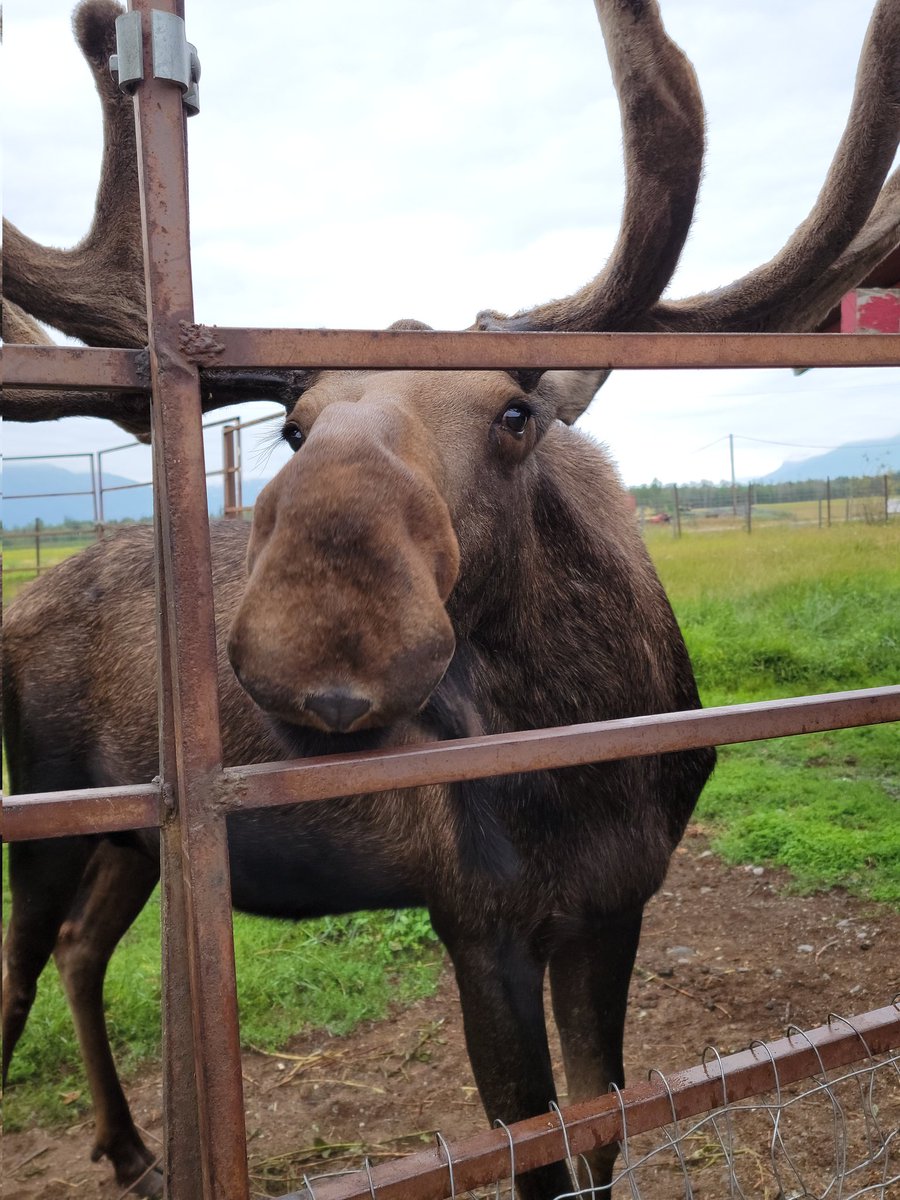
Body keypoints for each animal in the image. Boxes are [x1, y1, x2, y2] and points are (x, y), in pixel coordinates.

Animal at [3, 1, 899, 1198]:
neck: (589, 755)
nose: (325, 627)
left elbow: (601, 1130)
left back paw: (137, 1148)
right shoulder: (478, 919)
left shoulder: (616, 903)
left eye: (517, 414)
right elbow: (533, 1151)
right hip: (46, 802)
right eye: (295, 426)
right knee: (18, 973)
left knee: (80, 948)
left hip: (131, 837)